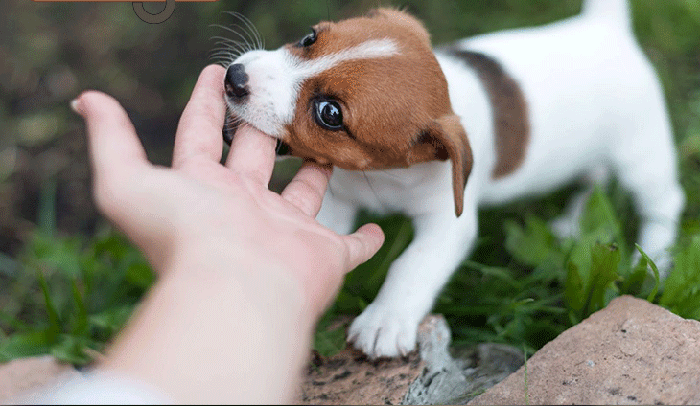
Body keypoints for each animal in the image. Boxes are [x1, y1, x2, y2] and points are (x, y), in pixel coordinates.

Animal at [223, 0, 684, 356]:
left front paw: (386, 319)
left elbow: (411, 265)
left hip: (641, 154)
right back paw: (572, 223)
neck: (384, 176)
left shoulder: (448, 224)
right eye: (309, 39)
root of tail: (607, 29)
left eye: (329, 113)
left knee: (664, 200)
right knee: (593, 179)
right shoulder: (337, 197)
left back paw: (654, 258)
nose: (234, 78)